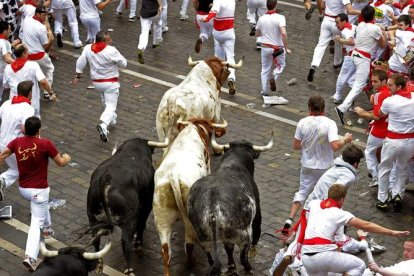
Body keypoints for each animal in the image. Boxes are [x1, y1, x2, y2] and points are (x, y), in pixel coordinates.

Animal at [86, 138, 158, 274]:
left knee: (95, 238)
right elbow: (141, 225)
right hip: (129, 220)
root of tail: (106, 178)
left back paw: (99, 263)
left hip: (92, 217)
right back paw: (129, 270)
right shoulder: (146, 206)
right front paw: (139, 247)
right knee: (126, 242)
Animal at [153, 118, 226, 276]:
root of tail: (173, 175)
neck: (194, 128)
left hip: (162, 220)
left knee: (166, 252)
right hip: (193, 220)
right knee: (190, 244)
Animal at [188, 141, 264, 274]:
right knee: (243, 255)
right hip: (244, 234)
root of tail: (212, 209)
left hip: (204, 236)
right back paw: (247, 268)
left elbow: (228, 249)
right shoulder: (257, 215)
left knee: (212, 255)